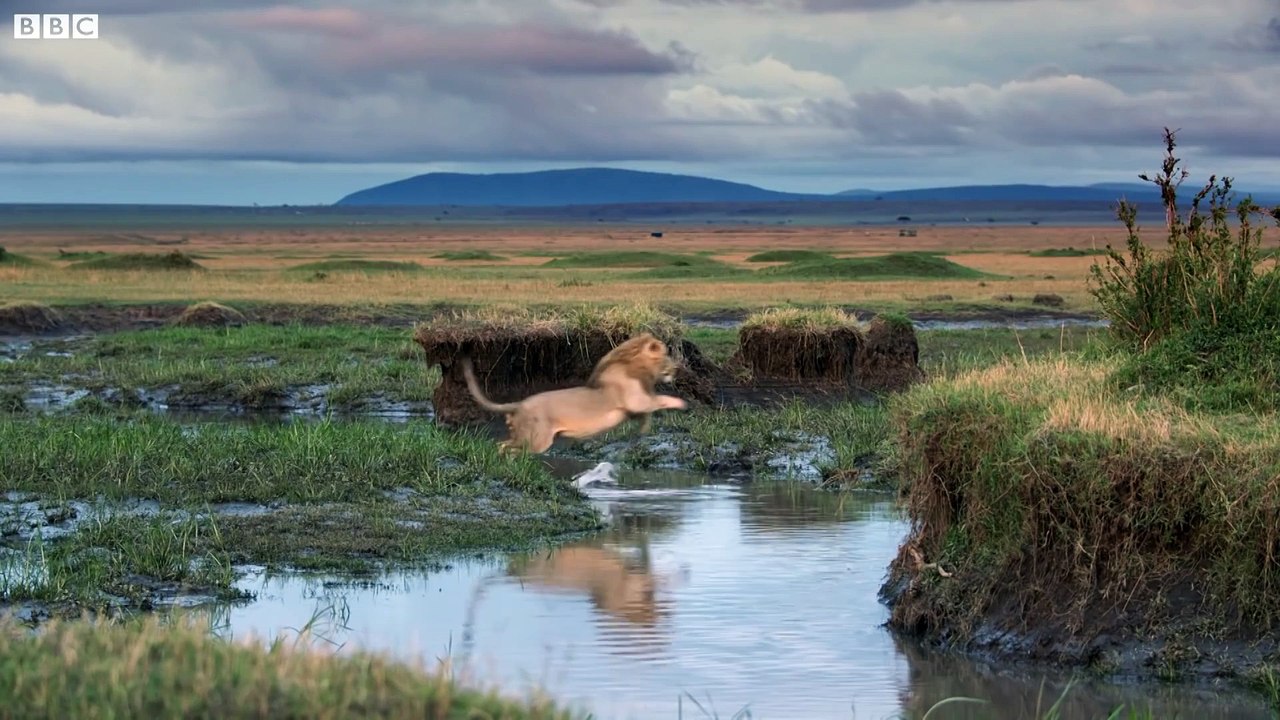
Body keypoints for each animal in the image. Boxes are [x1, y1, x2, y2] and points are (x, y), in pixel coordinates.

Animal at [460, 332, 688, 455]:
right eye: (668, 356)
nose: (677, 369)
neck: (637, 367)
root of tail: (520, 403)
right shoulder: (638, 400)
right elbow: (661, 399)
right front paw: (684, 404)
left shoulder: (636, 408)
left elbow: (646, 415)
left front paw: (642, 431)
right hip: (537, 441)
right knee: (510, 448)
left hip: (523, 437)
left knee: (502, 444)